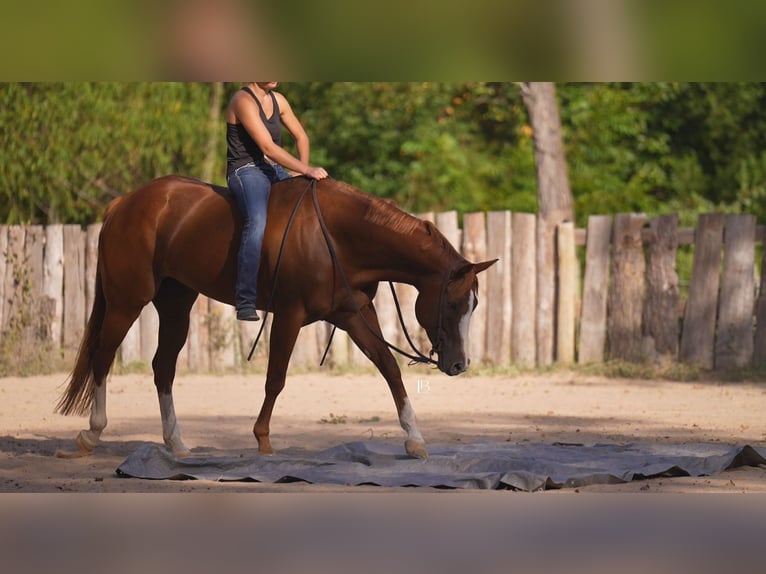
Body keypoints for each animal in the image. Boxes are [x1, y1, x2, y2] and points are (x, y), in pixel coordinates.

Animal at [55, 175, 496, 459]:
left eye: (475, 306)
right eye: (454, 304)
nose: (460, 364)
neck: (336, 236)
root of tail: (124, 204)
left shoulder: (353, 314)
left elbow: (389, 367)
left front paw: (415, 439)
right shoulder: (289, 314)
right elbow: (276, 378)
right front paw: (263, 439)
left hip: (176, 305)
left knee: (163, 367)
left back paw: (176, 445)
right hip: (127, 301)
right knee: (102, 357)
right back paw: (91, 434)